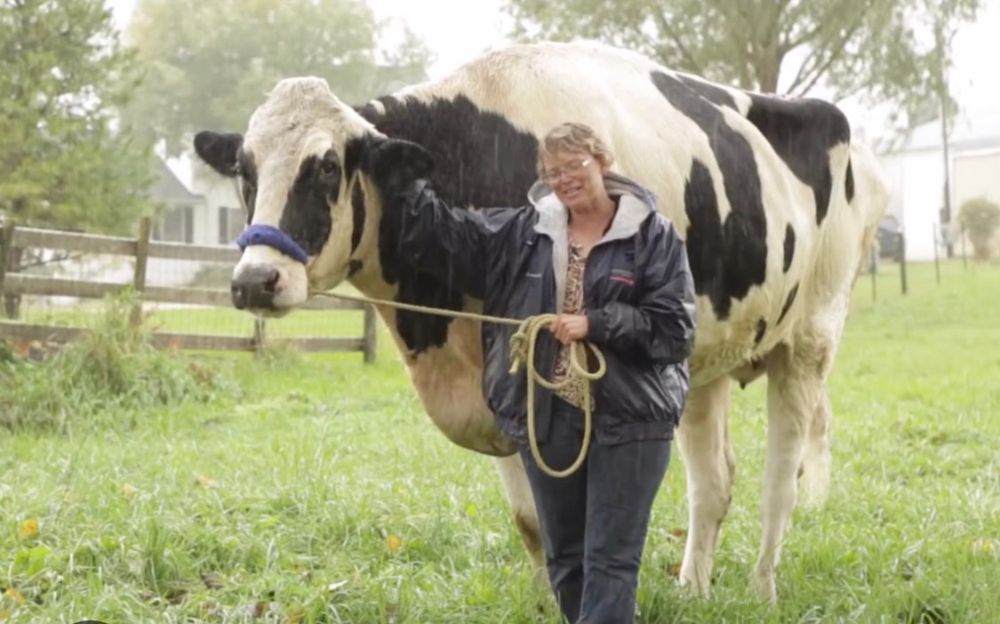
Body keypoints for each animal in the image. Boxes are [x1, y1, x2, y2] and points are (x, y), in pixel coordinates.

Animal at [193, 41, 889, 602]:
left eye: (327, 167)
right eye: (245, 171)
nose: (255, 280)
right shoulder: (497, 388)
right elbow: (535, 525)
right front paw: (546, 600)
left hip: (810, 341)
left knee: (781, 480)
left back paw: (763, 590)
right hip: (704, 360)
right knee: (714, 483)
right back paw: (693, 590)